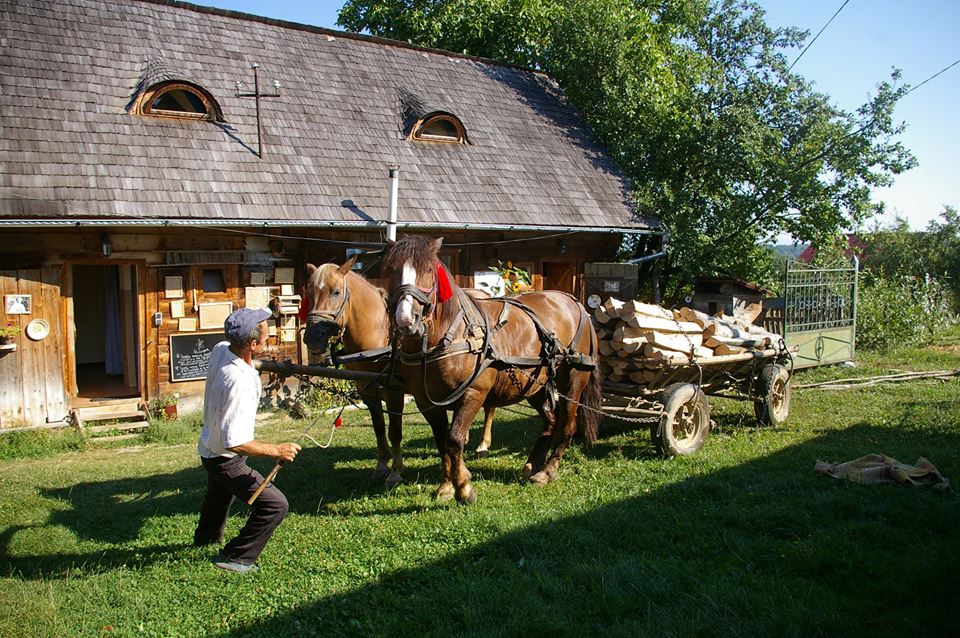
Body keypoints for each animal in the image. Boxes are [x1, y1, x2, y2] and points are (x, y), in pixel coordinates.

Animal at [304, 256, 498, 484]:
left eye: (335, 292)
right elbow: (379, 428)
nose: (312, 337)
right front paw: (381, 465)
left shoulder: (393, 393)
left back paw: (482, 445)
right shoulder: (367, 392)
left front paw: (395, 471)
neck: (377, 338)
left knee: (489, 407)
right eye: (309, 293)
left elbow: (394, 431)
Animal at [382, 236, 600, 504]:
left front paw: (464, 488)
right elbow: (441, 442)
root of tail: (574, 302)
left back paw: (546, 472)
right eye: (391, 269)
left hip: (574, 380)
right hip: (535, 387)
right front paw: (446, 486)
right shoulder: (427, 402)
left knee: (567, 426)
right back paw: (532, 465)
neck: (452, 336)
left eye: (429, 270)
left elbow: (454, 440)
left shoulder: (473, 394)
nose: (406, 320)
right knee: (550, 421)